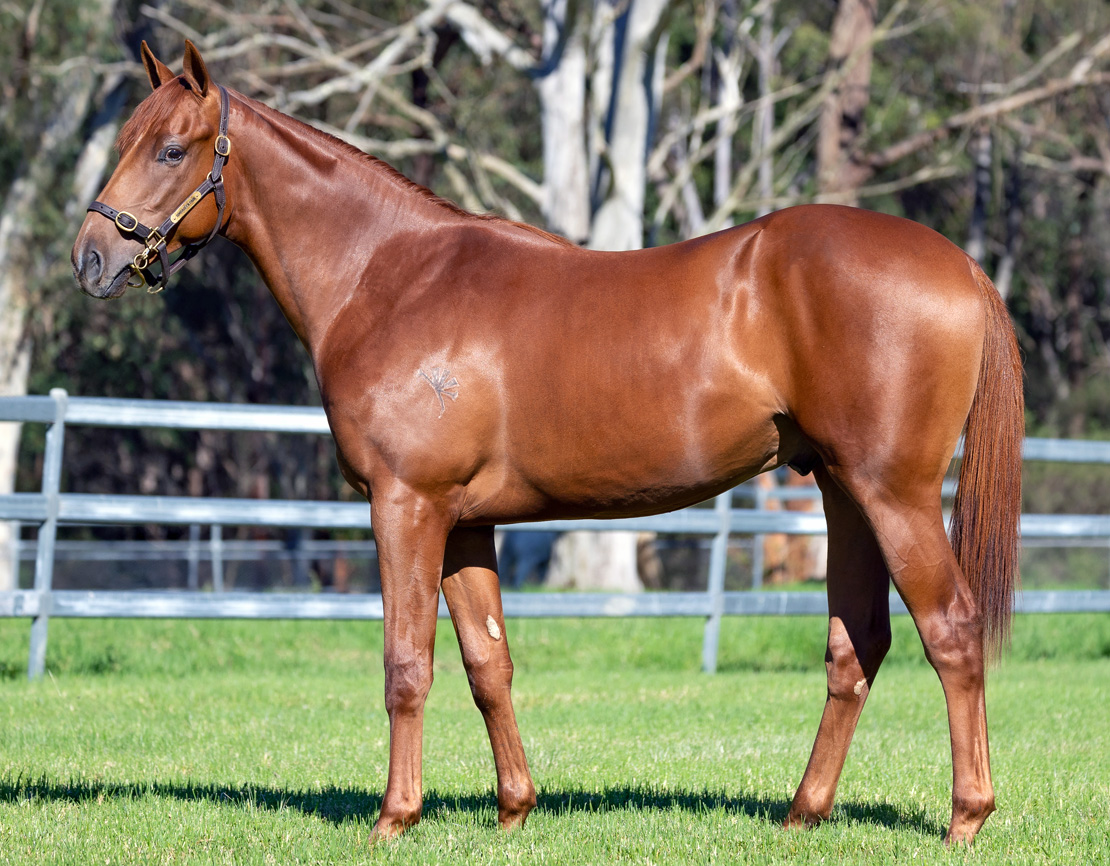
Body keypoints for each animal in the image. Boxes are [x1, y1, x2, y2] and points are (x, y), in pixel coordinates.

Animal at [69, 42, 1021, 843]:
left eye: (172, 149)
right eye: (128, 138)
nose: (90, 258)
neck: (392, 277)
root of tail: (961, 264)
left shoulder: (405, 506)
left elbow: (406, 664)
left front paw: (394, 819)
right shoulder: (463, 523)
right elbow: (488, 663)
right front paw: (513, 810)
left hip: (893, 493)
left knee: (951, 630)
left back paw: (965, 817)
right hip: (841, 489)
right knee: (857, 644)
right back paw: (803, 813)